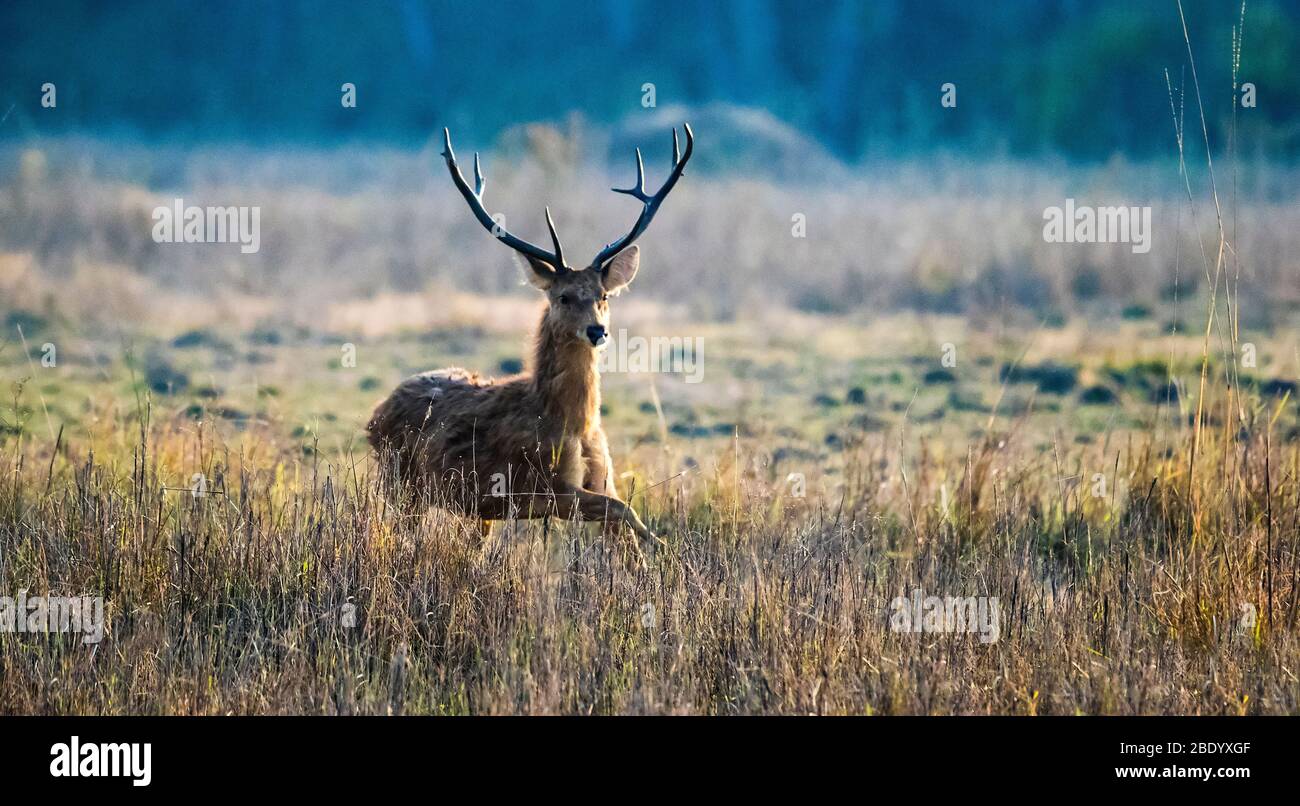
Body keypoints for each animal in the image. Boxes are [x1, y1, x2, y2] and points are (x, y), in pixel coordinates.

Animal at [369, 122, 691, 556]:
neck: (573, 425)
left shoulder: (600, 477)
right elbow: (624, 510)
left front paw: (650, 556)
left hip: (473, 509)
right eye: (563, 296)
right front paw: (666, 547)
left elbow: (622, 516)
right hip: (401, 482)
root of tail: (376, 414)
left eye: (603, 296)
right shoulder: (547, 486)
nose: (597, 331)